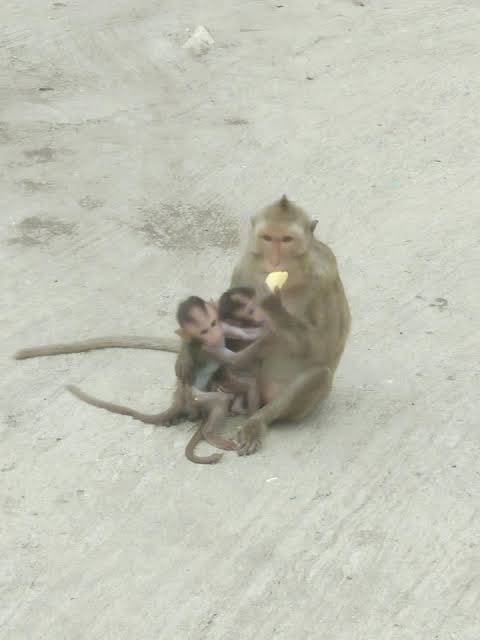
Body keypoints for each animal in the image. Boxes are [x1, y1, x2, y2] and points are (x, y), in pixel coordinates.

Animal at [228, 194, 351, 455]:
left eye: (286, 239)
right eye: (268, 238)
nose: (275, 261)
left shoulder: (325, 280)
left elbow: (324, 347)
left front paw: (272, 304)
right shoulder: (242, 269)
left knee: (318, 374)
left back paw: (257, 421)